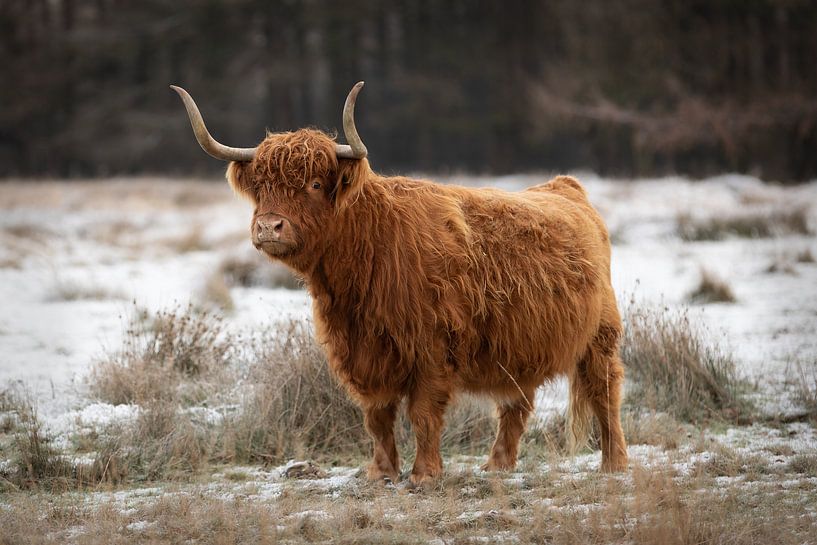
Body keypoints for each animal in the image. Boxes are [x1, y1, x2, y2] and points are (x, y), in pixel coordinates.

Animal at [172, 82, 628, 484]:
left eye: (315, 184)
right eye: (263, 187)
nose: (269, 226)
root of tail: (564, 186)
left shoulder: (432, 348)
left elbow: (423, 413)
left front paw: (424, 475)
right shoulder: (361, 352)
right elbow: (377, 417)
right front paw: (382, 473)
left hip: (600, 338)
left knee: (605, 393)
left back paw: (614, 464)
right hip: (517, 345)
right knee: (517, 403)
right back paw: (497, 466)